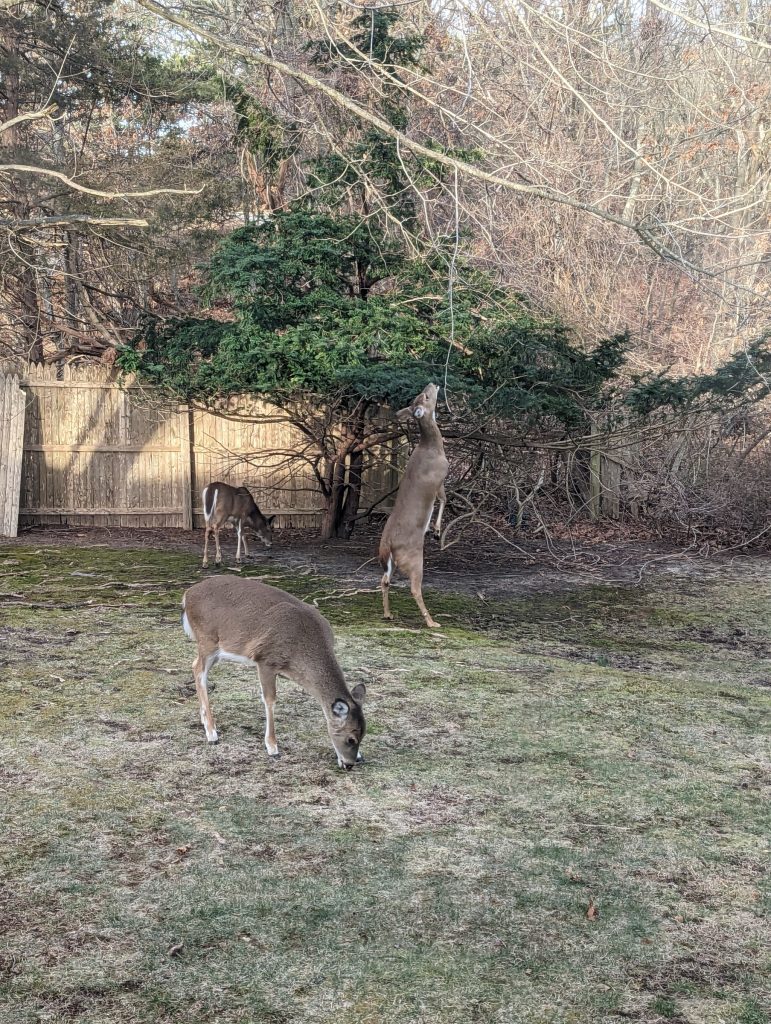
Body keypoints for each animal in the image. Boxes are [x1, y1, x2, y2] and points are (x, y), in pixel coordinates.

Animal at [181, 576, 366, 768]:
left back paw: (205, 721)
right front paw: (272, 747)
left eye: (363, 735)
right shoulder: (266, 659)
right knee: (199, 670)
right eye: (351, 739)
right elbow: (270, 700)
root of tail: (187, 595)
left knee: (195, 666)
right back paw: (212, 733)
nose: (350, 764)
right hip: (207, 639)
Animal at [378, 382, 449, 628]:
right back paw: (432, 622)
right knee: (414, 588)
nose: (432, 383)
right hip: (414, 558)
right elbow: (444, 499)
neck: (432, 447)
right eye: (426, 396)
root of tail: (388, 544)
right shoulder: (440, 476)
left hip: (389, 561)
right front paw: (436, 530)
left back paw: (388, 614)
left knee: (385, 579)